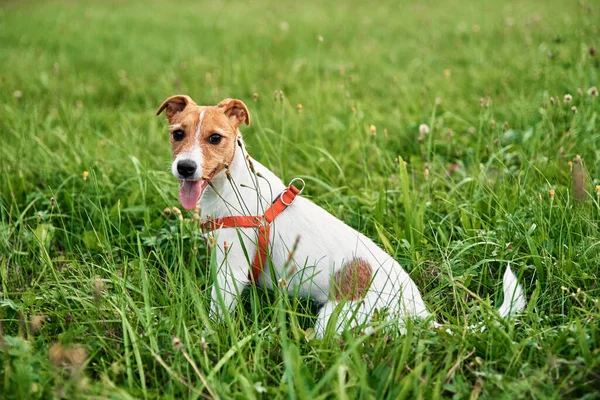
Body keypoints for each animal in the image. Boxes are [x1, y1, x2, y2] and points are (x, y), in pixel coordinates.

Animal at [157, 95, 528, 336]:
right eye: (178, 134)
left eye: (215, 138)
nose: (185, 167)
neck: (230, 185)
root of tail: (419, 313)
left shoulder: (231, 271)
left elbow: (218, 312)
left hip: (334, 320)